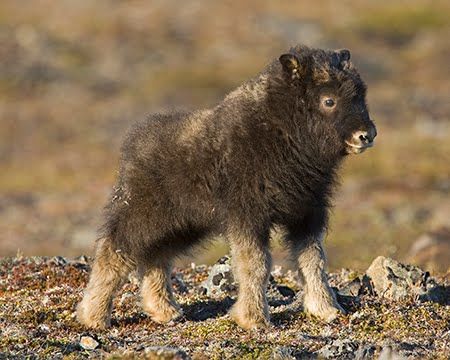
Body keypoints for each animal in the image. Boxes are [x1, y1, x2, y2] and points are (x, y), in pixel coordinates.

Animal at [77, 46, 376, 330]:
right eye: (329, 100)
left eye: (360, 96)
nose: (367, 135)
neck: (281, 132)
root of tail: (132, 147)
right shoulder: (249, 216)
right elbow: (256, 264)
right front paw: (254, 319)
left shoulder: (306, 214)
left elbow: (314, 260)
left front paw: (327, 309)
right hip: (143, 217)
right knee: (113, 253)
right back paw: (93, 316)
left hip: (180, 226)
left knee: (157, 259)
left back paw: (165, 311)